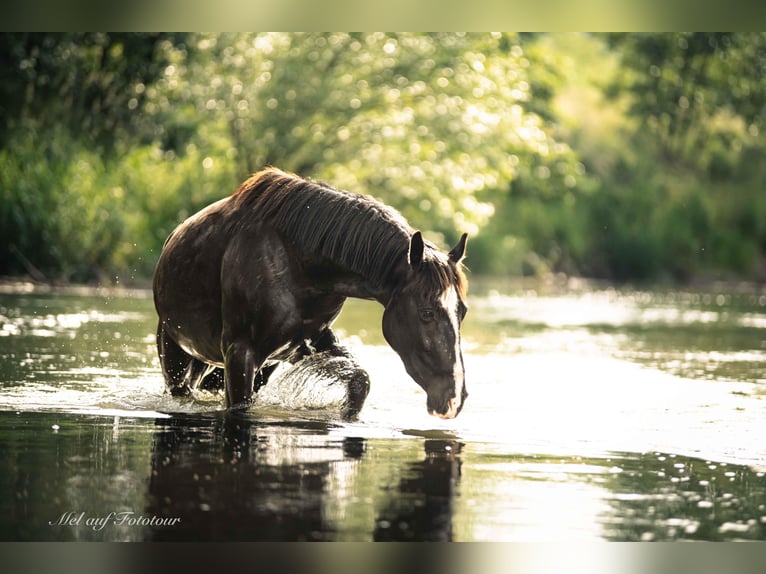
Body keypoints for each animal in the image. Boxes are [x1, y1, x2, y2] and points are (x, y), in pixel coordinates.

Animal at [152, 167, 469, 418]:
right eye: (426, 312)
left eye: (462, 311)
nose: (454, 398)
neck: (299, 262)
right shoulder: (240, 352)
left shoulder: (304, 344)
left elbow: (360, 380)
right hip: (176, 356)